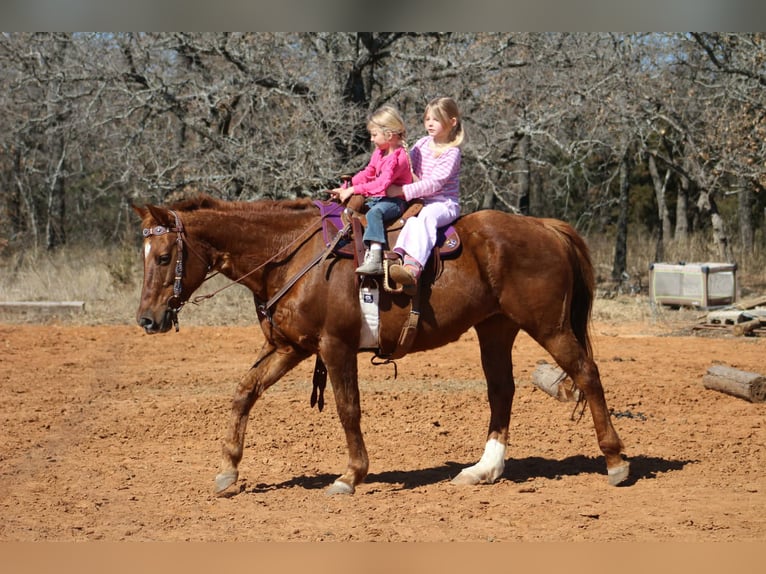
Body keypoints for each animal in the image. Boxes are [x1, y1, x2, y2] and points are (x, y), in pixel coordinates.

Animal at [133, 194, 629, 496]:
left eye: (164, 257)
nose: (147, 319)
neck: (292, 256)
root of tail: (546, 227)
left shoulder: (334, 347)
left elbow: (347, 408)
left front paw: (351, 474)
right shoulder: (291, 347)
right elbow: (244, 392)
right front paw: (228, 470)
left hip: (549, 327)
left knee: (587, 373)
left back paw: (615, 461)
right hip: (496, 328)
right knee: (501, 391)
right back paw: (483, 470)